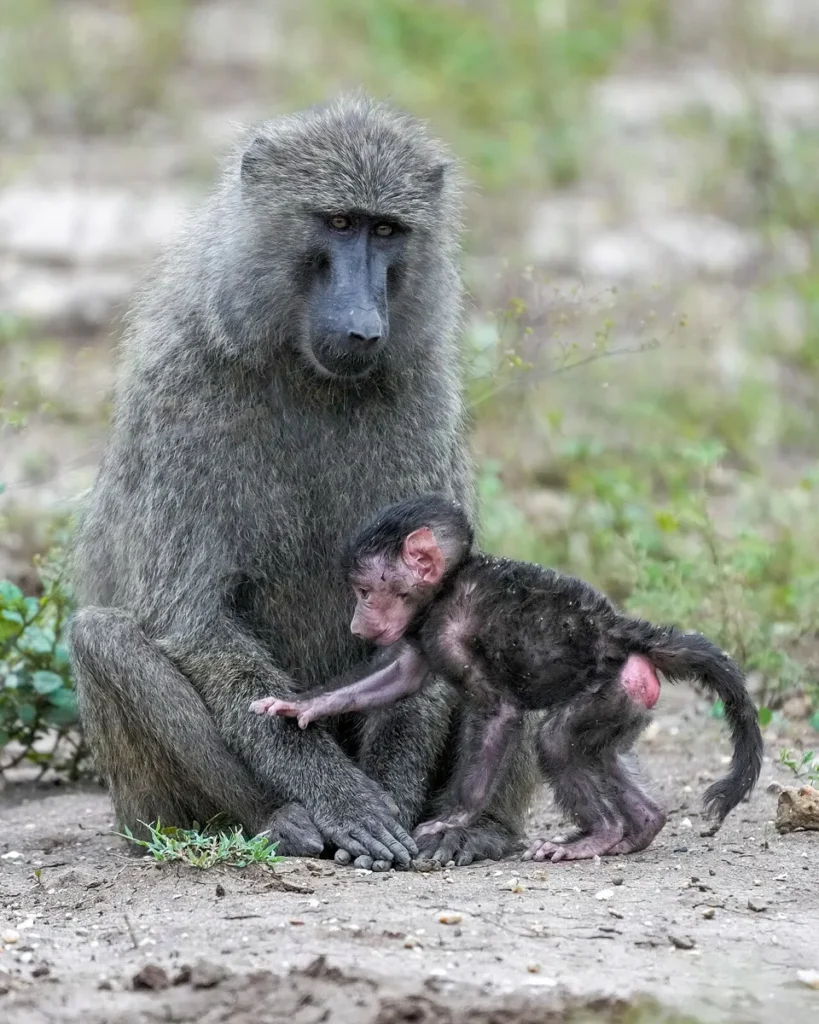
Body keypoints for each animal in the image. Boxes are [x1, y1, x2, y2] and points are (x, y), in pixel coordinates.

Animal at [68, 94, 541, 873]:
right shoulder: (180, 391)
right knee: (102, 638)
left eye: (387, 230)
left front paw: (393, 795)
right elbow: (196, 623)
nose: (363, 327)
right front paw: (348, 803)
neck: (302, 371)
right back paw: (274, 819)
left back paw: (474, 827)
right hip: (143, 809)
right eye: (339, 223)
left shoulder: (421, 390)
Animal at [251, 493, 764, 862]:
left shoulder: (451, 629)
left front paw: (455, 819)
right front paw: (301, 705)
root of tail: (625, 633)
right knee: (600, 754)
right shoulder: (425, 632)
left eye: (363, 591)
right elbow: (400, 677)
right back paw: (642, 826)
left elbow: (498, 711)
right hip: (629, 700)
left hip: (609, 690)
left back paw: (602, 835)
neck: (447, 585)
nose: (358, 625)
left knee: (556, 741)